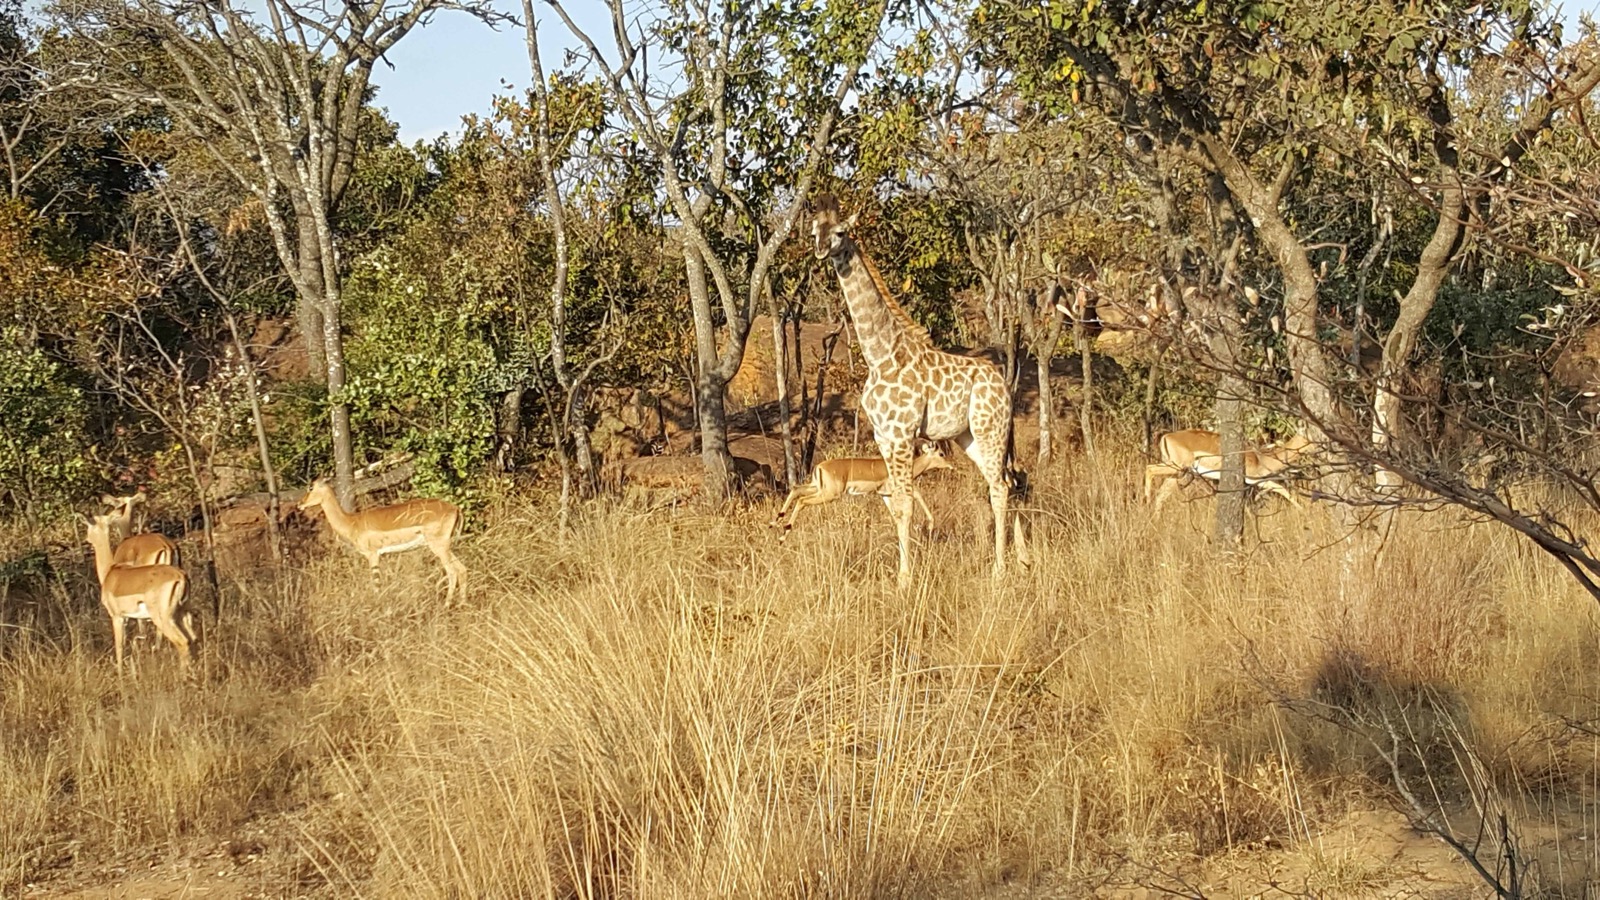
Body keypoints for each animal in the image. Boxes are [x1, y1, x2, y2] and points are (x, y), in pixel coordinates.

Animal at [83, 514, 196, 673]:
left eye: (89, 525)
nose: (86, 539)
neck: (110, 571)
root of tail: (181, 576)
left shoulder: (117, 617)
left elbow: (119, 647)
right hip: (183, 613)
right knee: (193, 639)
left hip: (163, 618)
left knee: (182, 642)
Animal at [297, 480, 468, 604]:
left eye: (311, 487)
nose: (300, 504)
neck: (352, 522)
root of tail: (455, 508)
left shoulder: (373, 555)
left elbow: (376, 585)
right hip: (446, 547)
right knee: (462, 569)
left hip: (439, 547)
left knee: (452, 572)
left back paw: (446, 606)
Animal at [771, 442, 953, 540]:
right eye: (941, 453)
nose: (952, 465)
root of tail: (819, 467)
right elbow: (918, 494)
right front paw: (930, 525)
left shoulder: (885, 494)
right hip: (829, 495)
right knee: (802, 501)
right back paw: (782, 534)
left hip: (817, 487)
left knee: (796, 490)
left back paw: (776, 524)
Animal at [809, 193, 1022, 587]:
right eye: (815, 229)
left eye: (841, 231)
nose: (820, 249)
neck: (881, 354)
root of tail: (1004, 386)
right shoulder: (882, 436)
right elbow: (894, 504)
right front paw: (903, 572)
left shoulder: (901, 432)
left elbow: (906, 505)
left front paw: (905, 579)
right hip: (968, 436)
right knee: (998, 484)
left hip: (992, 430)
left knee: (1001, 487)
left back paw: (1000, 571)